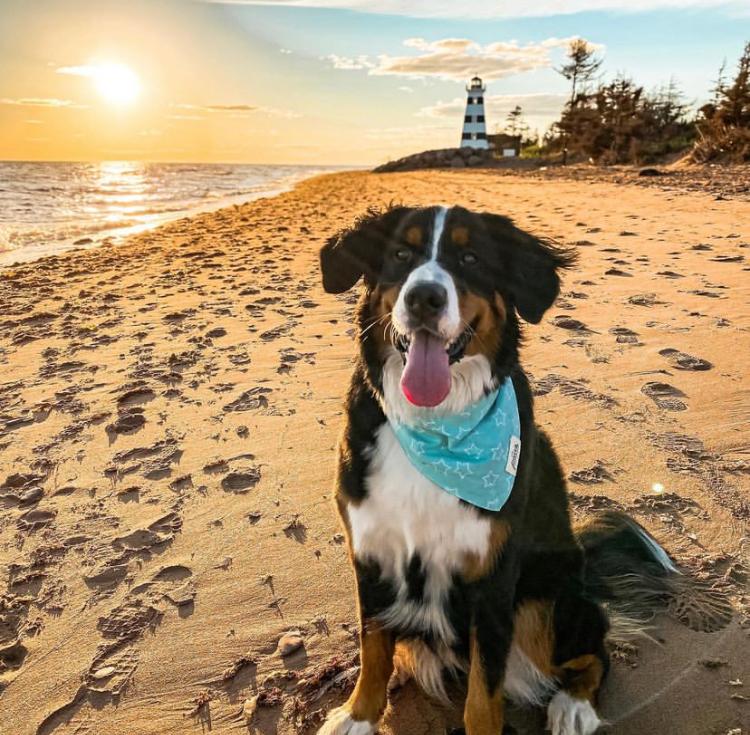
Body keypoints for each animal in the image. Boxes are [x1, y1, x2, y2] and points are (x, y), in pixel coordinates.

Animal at [318, 203, 680, 735]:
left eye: (470, 258)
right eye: (401, 254)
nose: (424, 298)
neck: (436, 425)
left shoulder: (493, 578)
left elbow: (483, 694)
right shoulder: (370, 550)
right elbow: (374, 646)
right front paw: (359, 714)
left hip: (540, 604)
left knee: (595, 652)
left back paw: (574, 706)